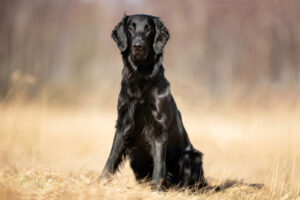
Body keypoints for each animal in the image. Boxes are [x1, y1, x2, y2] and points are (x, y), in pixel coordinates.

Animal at [99, 14, 207, 191]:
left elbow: (159, 165)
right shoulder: (123, 123)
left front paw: (156, 190)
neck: (141, 77)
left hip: (191, 157)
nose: (138, 46)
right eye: (131, 28)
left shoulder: (159, 127)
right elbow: (111, 158)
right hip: (135, 156)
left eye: (148, 29)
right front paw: (99, 183)